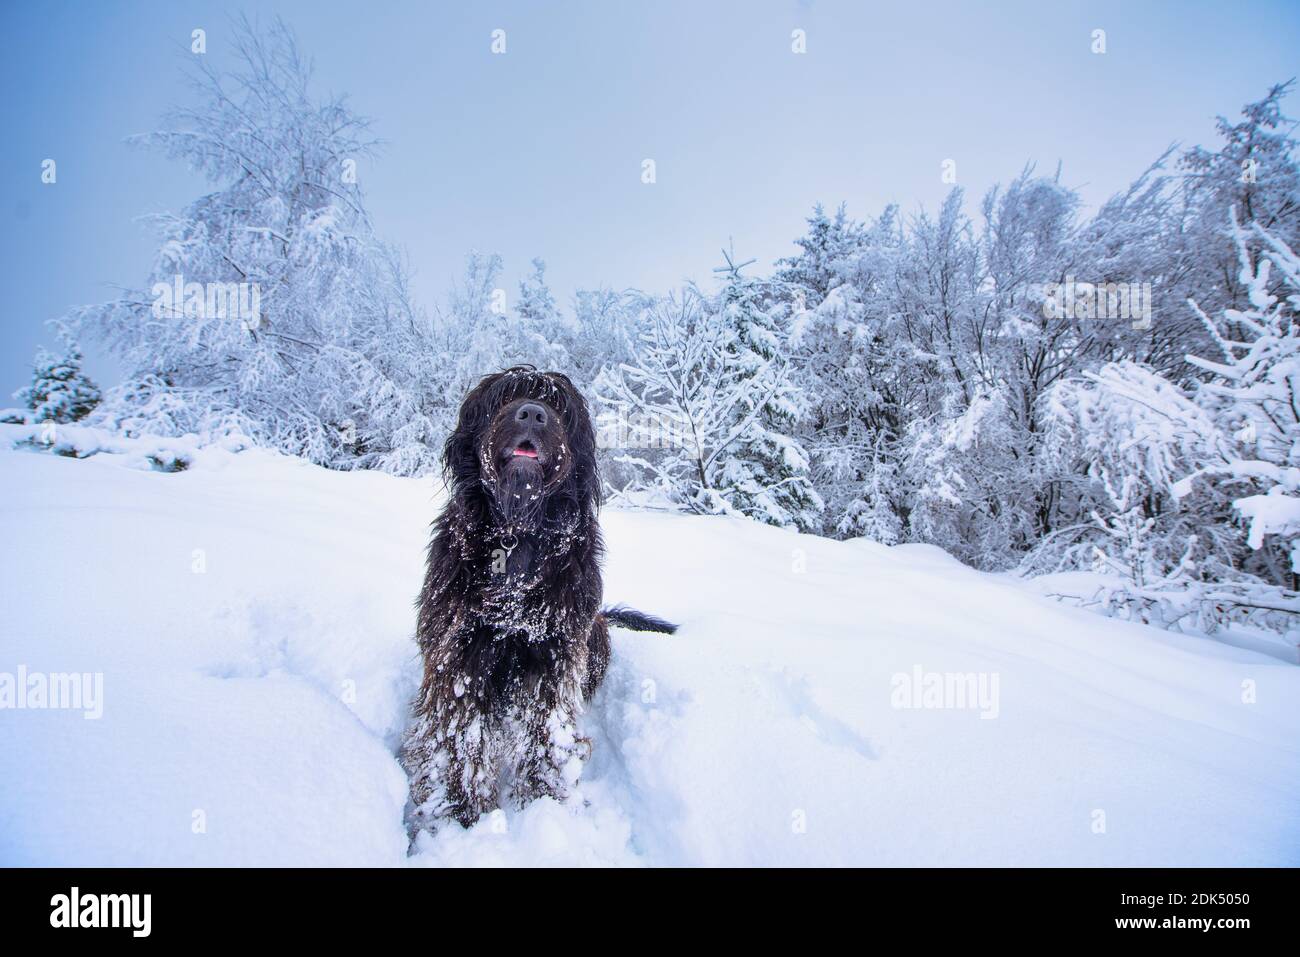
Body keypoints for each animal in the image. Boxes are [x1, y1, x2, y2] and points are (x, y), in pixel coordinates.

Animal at [403, 366, 670, 832]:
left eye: (557, 404)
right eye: (505, 396)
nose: (531, 414)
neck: (516, 534)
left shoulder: (555, 655)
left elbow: (548, 732)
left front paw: (547, 802)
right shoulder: (458, 653)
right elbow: (457, 734)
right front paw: (456, 812)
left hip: (594, 637)